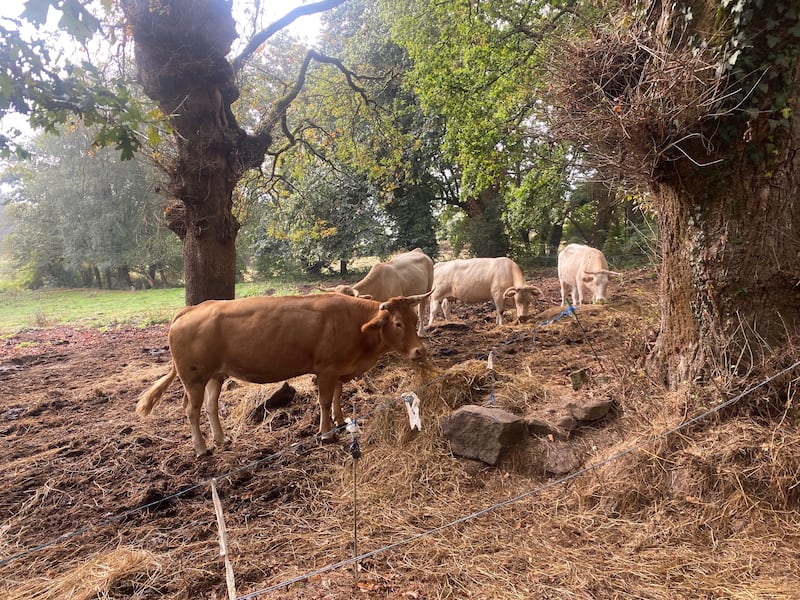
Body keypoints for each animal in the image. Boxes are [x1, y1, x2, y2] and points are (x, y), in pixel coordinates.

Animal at [136, 292, 432, 458]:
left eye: (415, 320)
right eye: (398, 323)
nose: (420, 350)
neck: (356, 325)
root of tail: (191, 309)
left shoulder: (339, 369)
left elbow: (338, 396)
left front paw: (339, 421)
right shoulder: (326, 369)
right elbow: (325, 400)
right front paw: (326, 433)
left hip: (215, 376)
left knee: (210, 406)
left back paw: (222, 439)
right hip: (193, 378)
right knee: (192, 410)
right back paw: (201, 448)